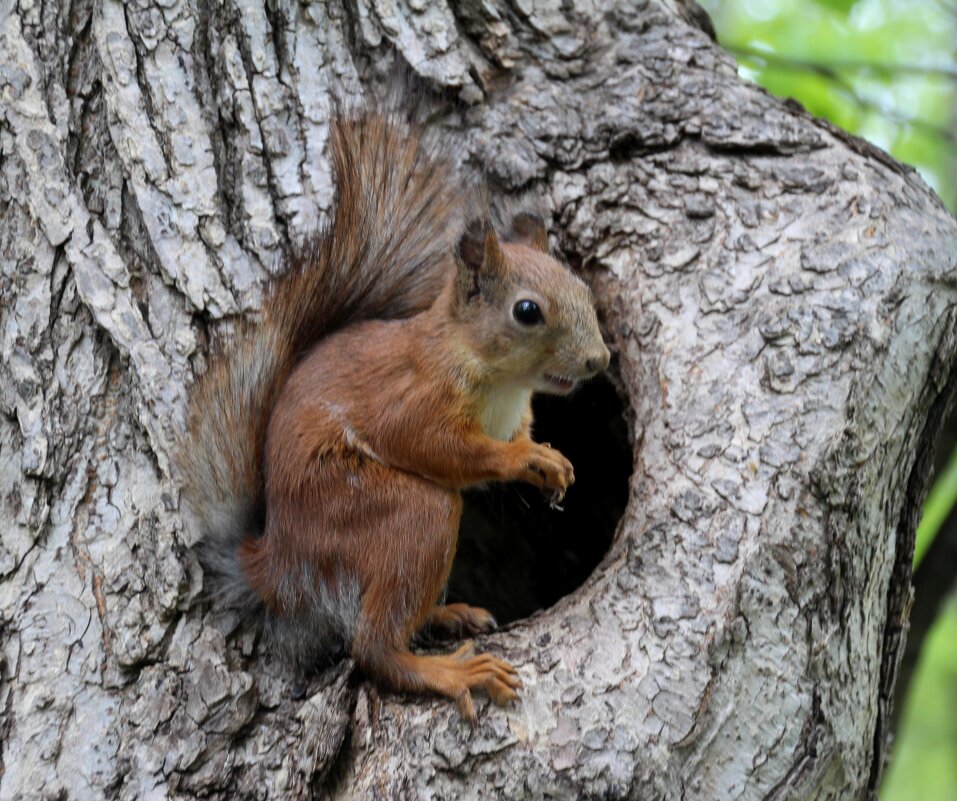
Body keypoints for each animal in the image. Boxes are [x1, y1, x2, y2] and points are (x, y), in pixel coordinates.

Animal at [181, 108, 604, 720]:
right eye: (527, 311)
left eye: (582, 289)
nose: (600, 359)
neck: (500, 381)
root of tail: (276, 562)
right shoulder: (413, 399)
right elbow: (442, 449)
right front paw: (524, 460)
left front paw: (548, 457)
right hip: (390, 511)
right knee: (374, 645)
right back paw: (447, 671)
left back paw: (447, 615)